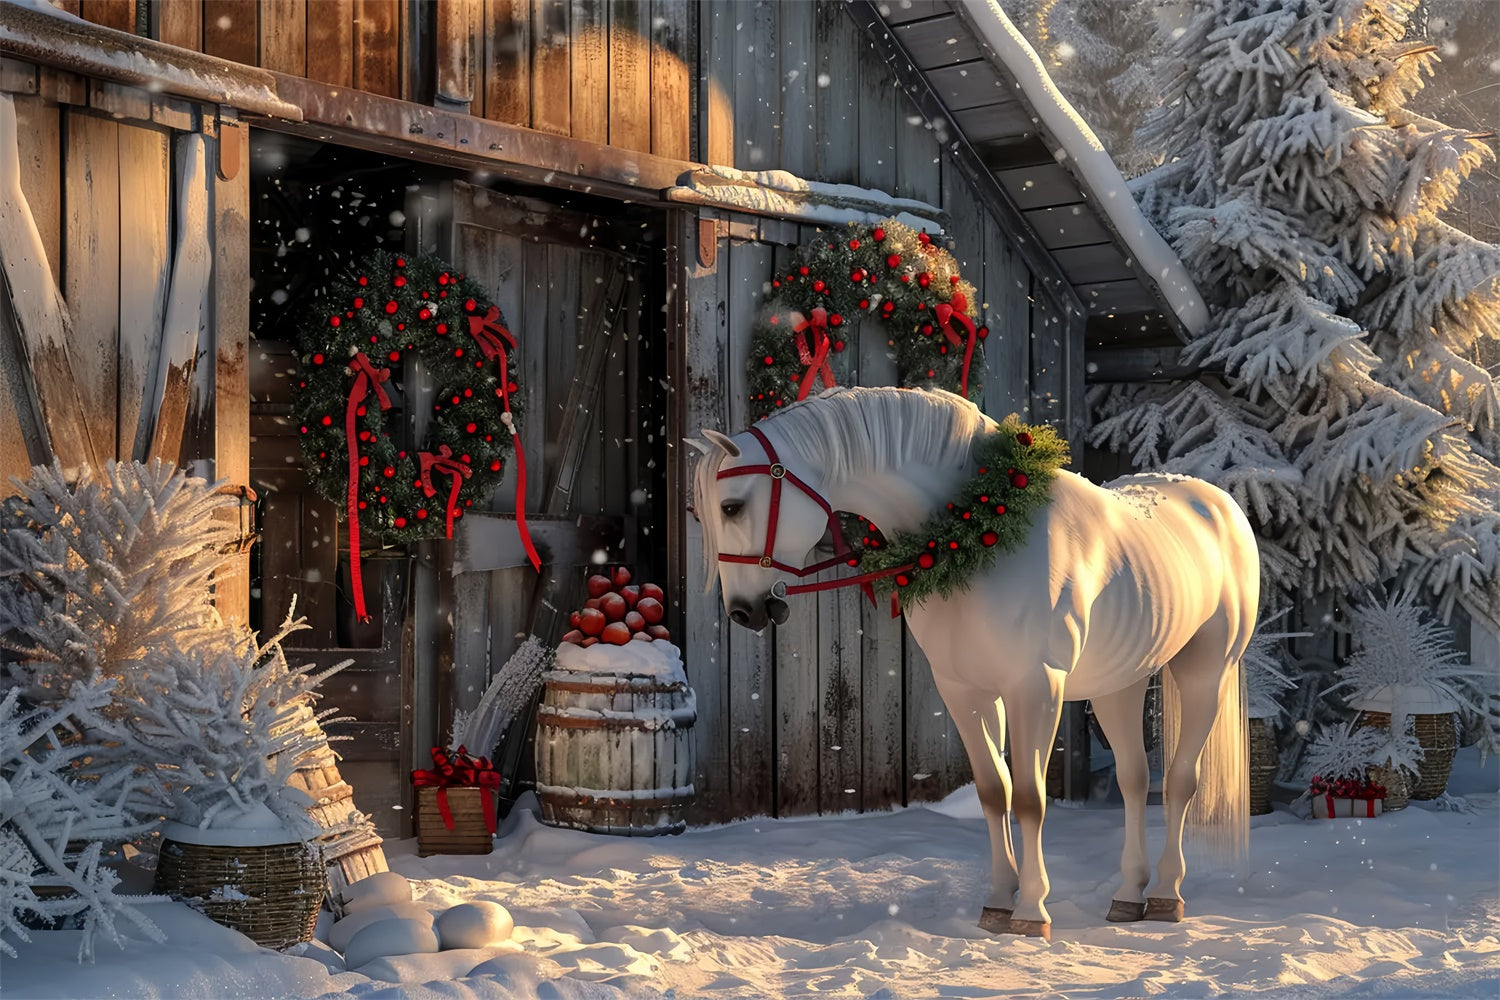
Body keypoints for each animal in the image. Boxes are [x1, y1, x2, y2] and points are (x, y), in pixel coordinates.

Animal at [690, 386, 1254, 941]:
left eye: (732, 507)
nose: (744, 611)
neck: (976, 526)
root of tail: (1221, 503)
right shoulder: (965, 691)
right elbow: (993, 791)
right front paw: (998, 906)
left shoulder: (1036, 687)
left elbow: (1029, 797)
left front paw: (1031, 911)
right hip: (1120, 683)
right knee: (1134, 779)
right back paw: (1128, 897)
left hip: (1206, 672)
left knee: (1180, 781)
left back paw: (1165, 896)